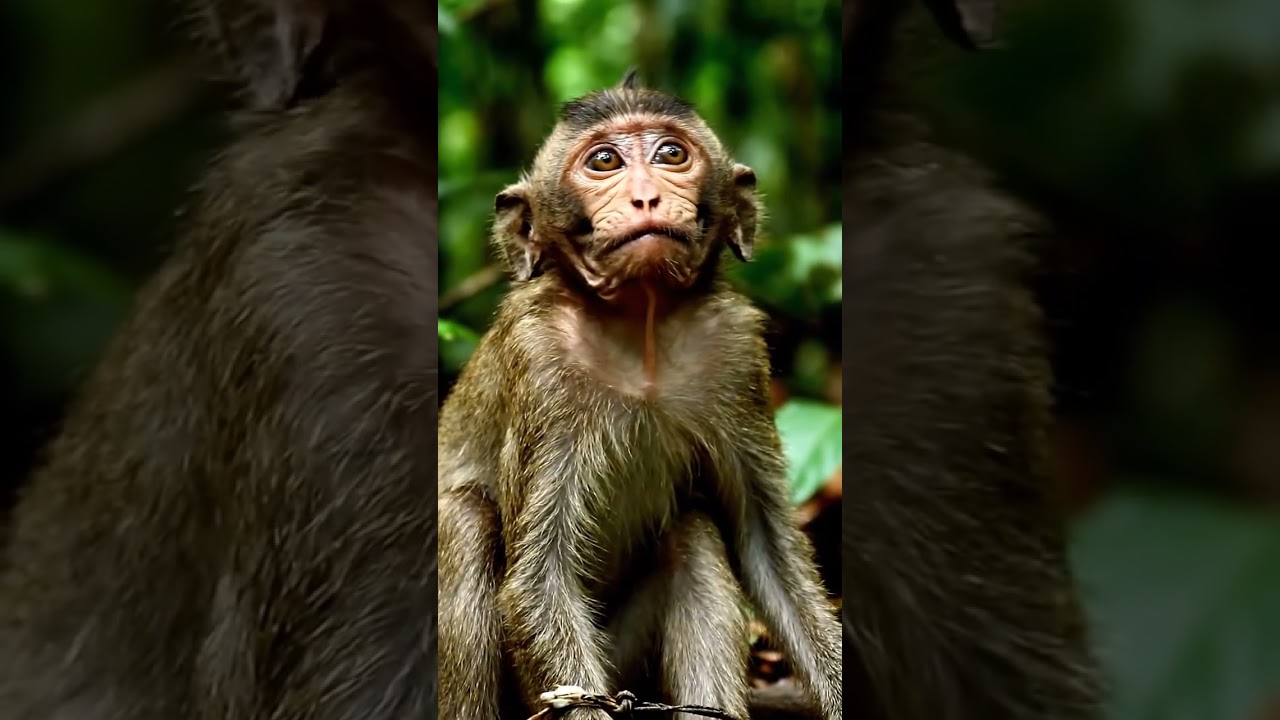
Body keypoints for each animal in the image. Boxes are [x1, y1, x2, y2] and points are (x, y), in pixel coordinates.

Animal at [437, 73, 843, 720]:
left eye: (672, 154)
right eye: (604, 161)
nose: (646, 197)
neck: (642, 328)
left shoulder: (736, 350)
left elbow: (768, 549)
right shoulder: (539, 362)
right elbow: (539, 579)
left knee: (690, 531)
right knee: (465, 520)